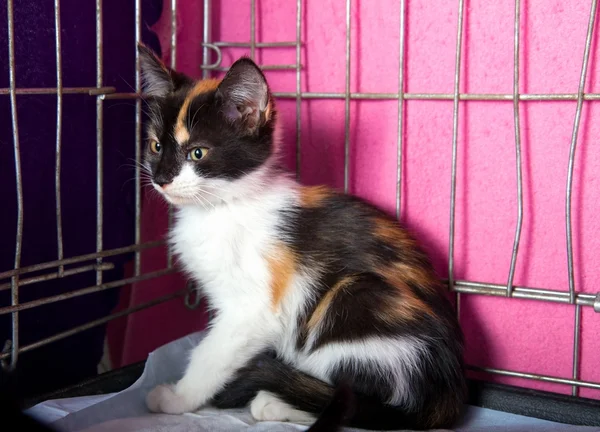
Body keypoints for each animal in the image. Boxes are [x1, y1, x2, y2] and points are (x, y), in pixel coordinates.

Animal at [138, 44, 466, 432]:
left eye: (198, 153)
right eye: (156, 146)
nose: (161, 179)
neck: (223, 206)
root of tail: (447, 397)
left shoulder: (253, 308)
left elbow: (211, 354)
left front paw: (177, 397)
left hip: (355, 300)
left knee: (355, 401)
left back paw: (274, 401)